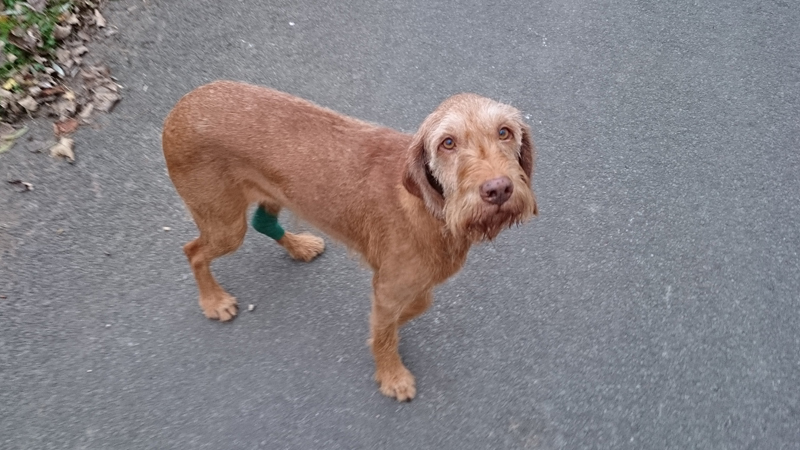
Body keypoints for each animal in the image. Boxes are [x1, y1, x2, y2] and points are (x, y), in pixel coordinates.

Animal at [162, 81, 537, 401]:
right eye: (448, 143)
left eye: (504, 132)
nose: (498, 189)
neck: (432, 209)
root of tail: (180, 107)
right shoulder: (388, 287)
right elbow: (387, 327)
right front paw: (391, 373)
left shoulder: (403, 286)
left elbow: (411, 309)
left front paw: (383, 338)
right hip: (225, 226)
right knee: (193, 251)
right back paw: (213, 300)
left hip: (274, 194)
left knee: (262, 221)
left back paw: (299, 247)